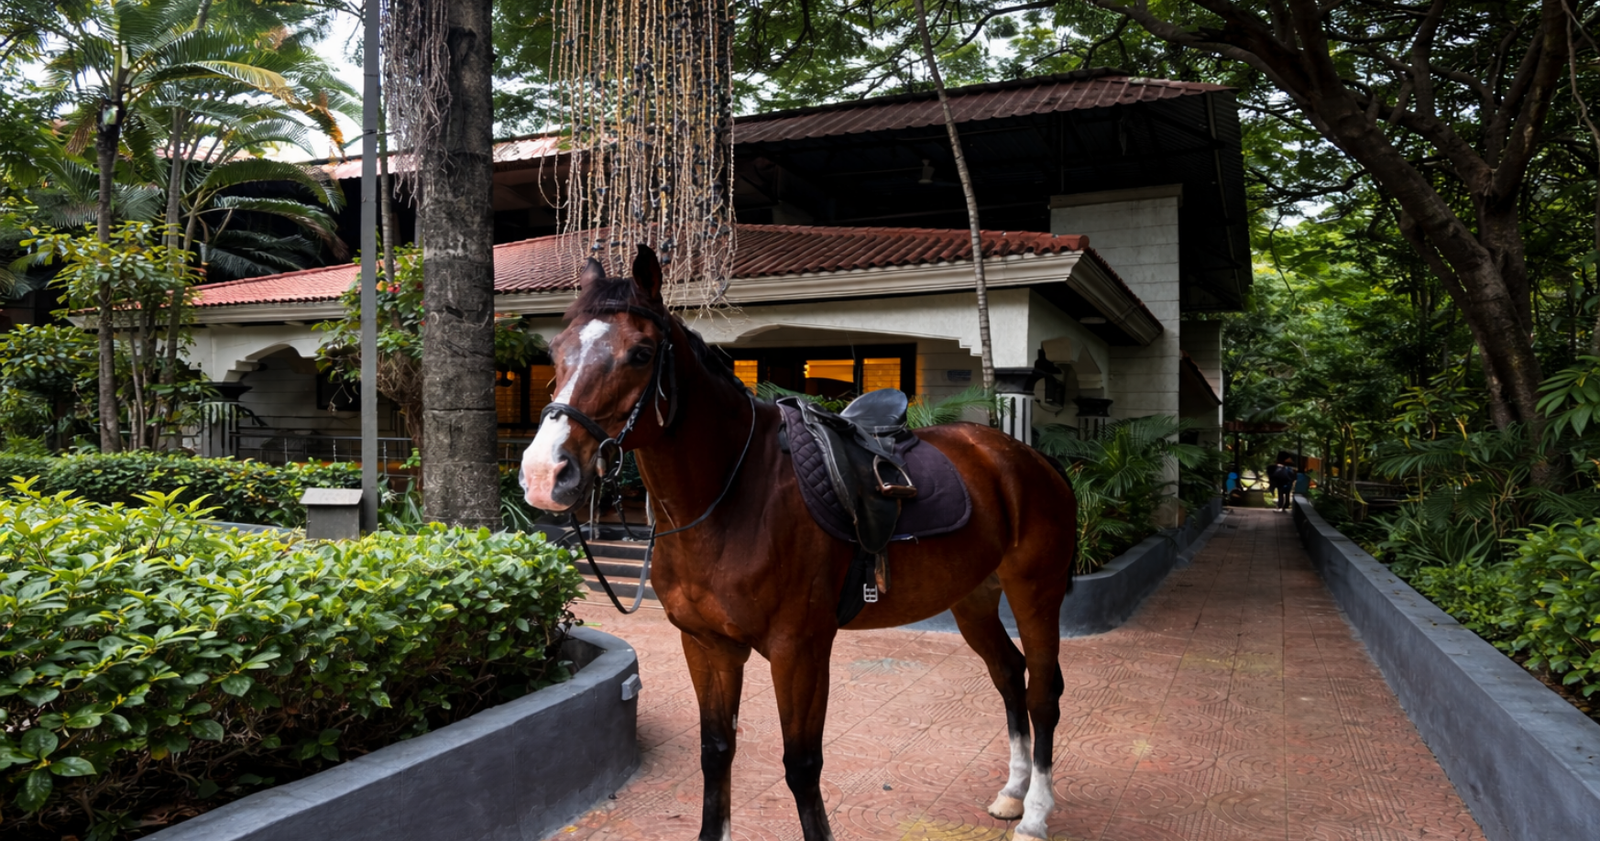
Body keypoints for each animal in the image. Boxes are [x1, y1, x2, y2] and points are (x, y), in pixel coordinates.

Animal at [521, 246, 1078, 841]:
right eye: (555, 352)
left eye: (641, 353)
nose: (543, 473)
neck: (733, 497)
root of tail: (1029, 459)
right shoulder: (707, 645)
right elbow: (716, 751)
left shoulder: (801, 650)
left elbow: (802, 765)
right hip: (973, 596)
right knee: (1009, 675)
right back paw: (1012, 793)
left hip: (1035, 592)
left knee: (1043, 692)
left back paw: (1035, 813)